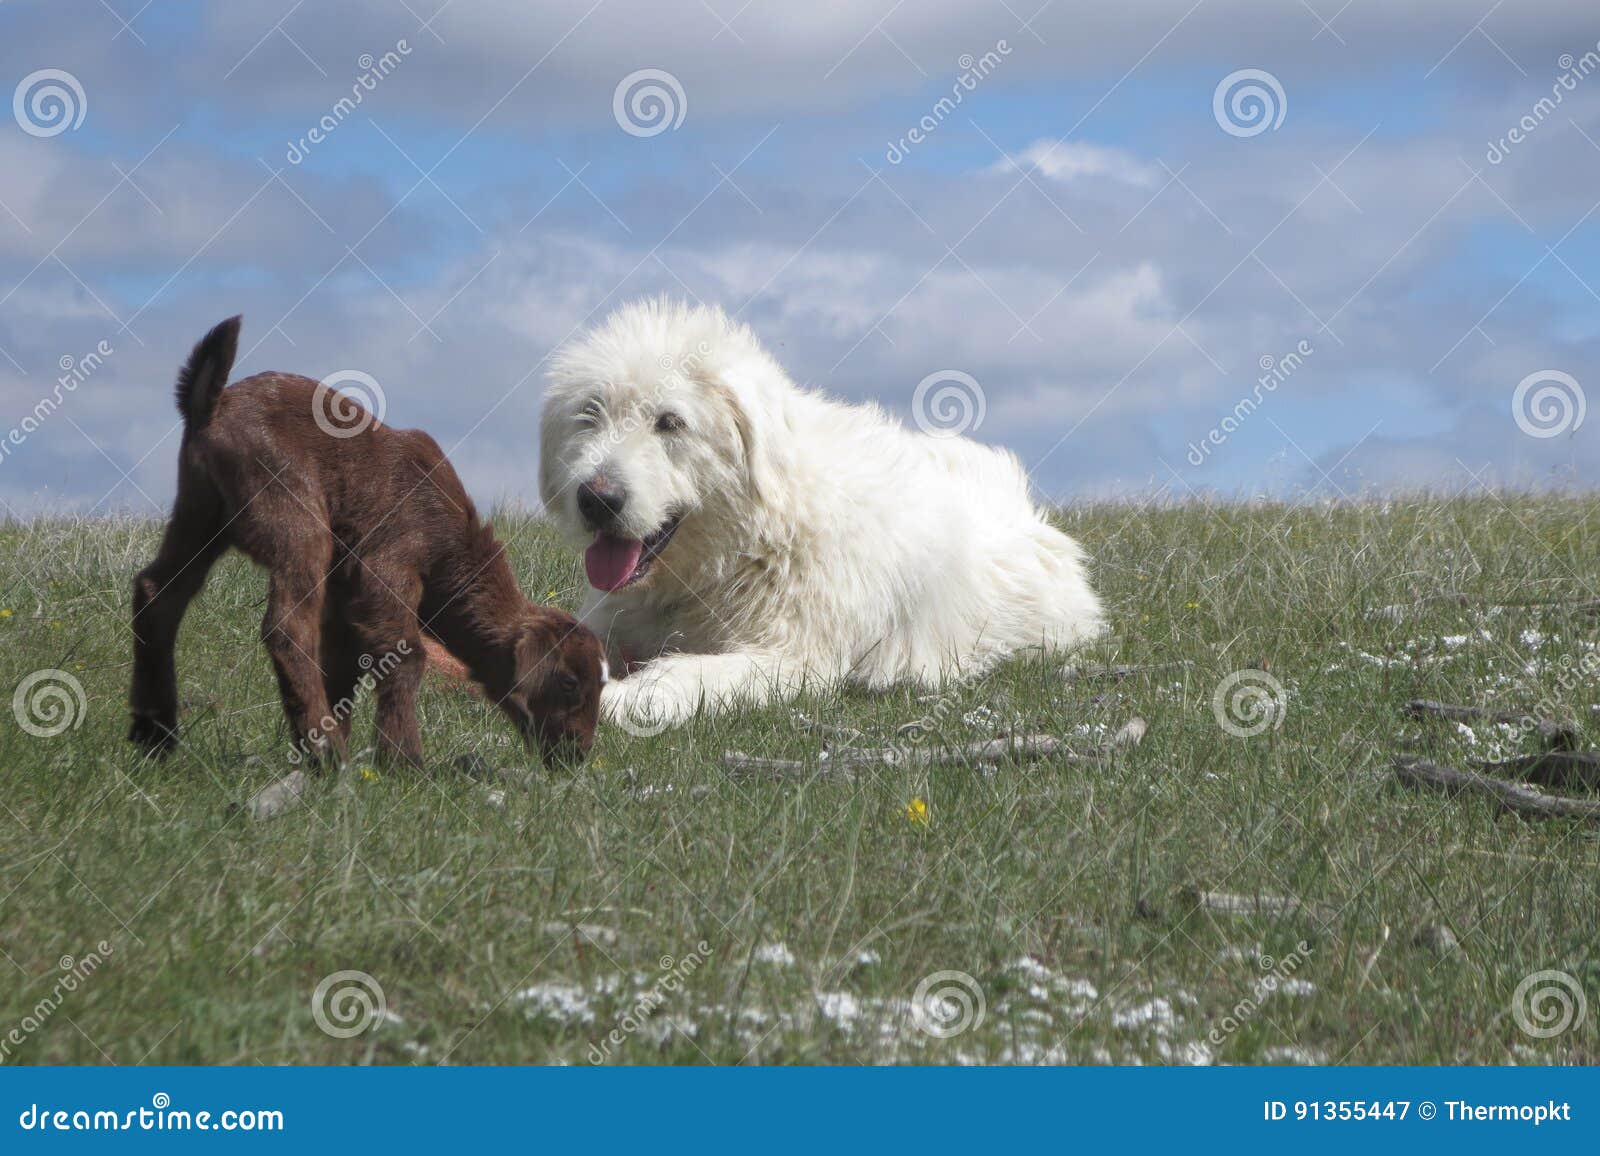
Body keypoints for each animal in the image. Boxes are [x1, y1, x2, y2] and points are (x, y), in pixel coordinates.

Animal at [129, 315, 604, 765]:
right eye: (568, 682)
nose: (576, 755)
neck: (452, 550)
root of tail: (212, 406)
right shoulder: (389, 563)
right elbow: (404, 655)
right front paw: (402, 759)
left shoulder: (345, 596)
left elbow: (342, 665)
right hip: (292, 512)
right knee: (287, 625)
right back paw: (325, 755)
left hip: (199, 512)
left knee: (159, 592)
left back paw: (155, 734)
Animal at [537, 299, 1100, 730]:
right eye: (590, 413)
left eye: (670, 422)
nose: (596, 499)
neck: (749, 543)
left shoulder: (788, 657)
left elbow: (686, 672)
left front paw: (624, 699)